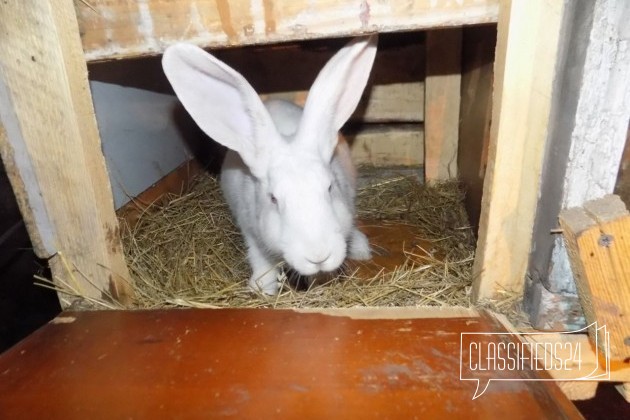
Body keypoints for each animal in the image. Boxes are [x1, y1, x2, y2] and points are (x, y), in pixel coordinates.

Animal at [165, 36, 378, 294]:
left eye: (330, 188)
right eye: (273, 199)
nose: (318, 256)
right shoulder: (251, 231)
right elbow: (260, 258)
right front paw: (262, 287)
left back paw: (361, 248)